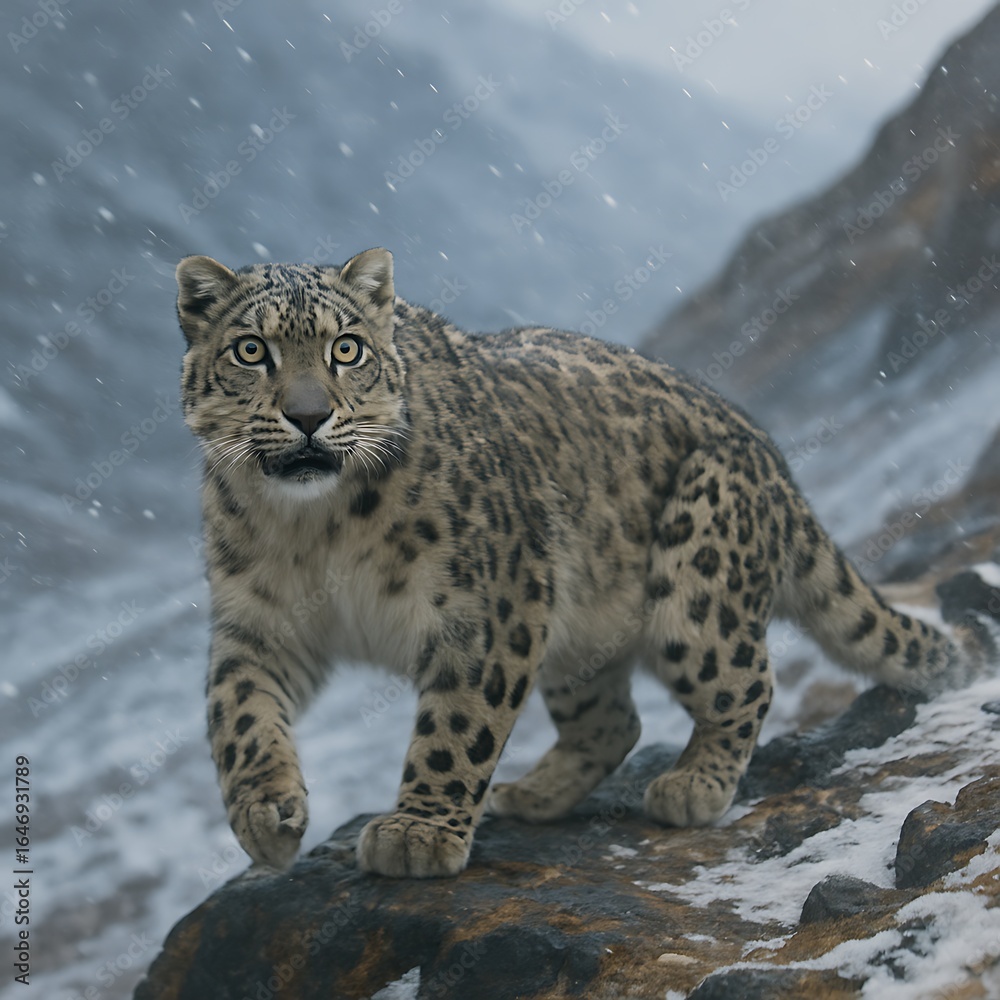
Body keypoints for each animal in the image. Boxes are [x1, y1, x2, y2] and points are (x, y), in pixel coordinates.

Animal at [175, 246, 992, 879]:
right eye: (252, 350)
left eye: (346, 348)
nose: (309, 416)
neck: (313, 530)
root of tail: (774, 462)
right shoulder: (259, 622)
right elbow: (236, 713)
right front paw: (266, 816)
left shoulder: (486, 607)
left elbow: (460, 723)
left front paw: (418, 833)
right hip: (580, 638)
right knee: (613, 720)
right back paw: (534, 794)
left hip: (697, 576)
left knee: (743, 680)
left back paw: (691, 787)